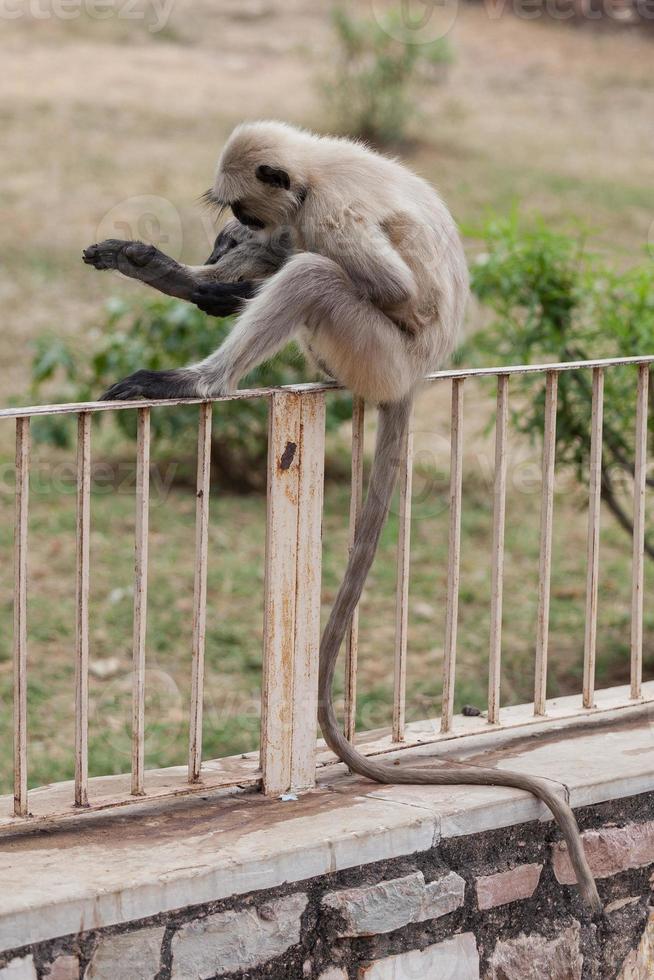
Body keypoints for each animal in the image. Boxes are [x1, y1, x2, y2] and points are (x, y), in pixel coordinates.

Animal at [83, 120, 604, 912]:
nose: (247, 223)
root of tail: (416, 376)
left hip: (374, 350)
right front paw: (191, 272)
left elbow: (381, 283)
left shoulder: (331, 214)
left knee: (314, 277)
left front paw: (234, 265)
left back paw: (198, 378)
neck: (313, 171)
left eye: (247, 202)